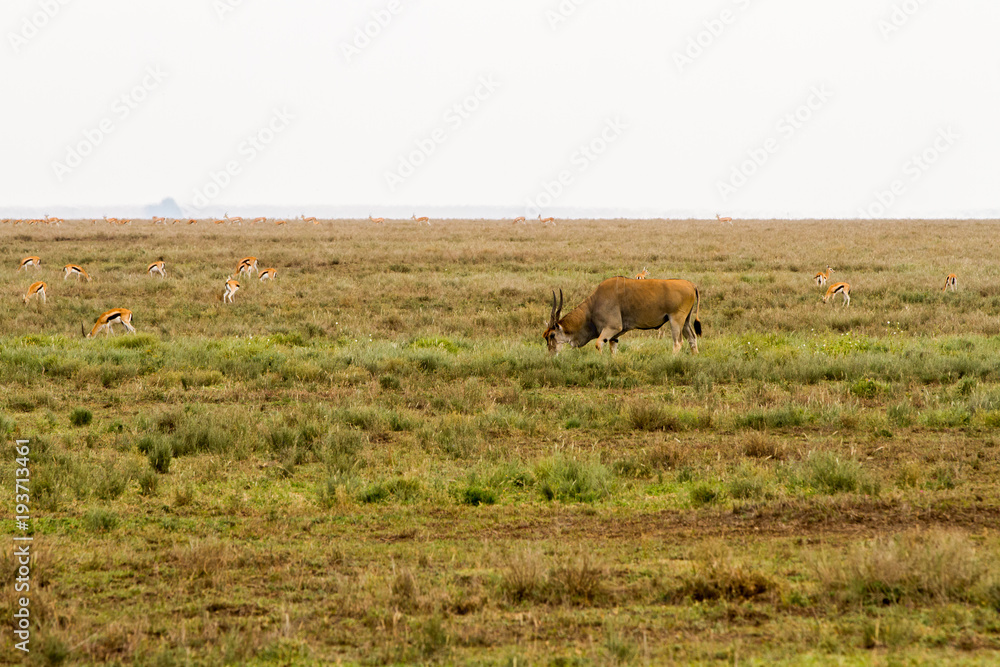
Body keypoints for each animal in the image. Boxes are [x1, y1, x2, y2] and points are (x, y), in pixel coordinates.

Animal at [544, 277, 702, 355]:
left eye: (552, 335)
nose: (551, 354)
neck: (594, 303)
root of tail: (692, 285)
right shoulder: (615, 335)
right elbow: (613, 347)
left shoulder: (612, 328)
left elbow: (598, 344)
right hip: (685, 322)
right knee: (692, 338)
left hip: (675, 320)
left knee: (678, 342)